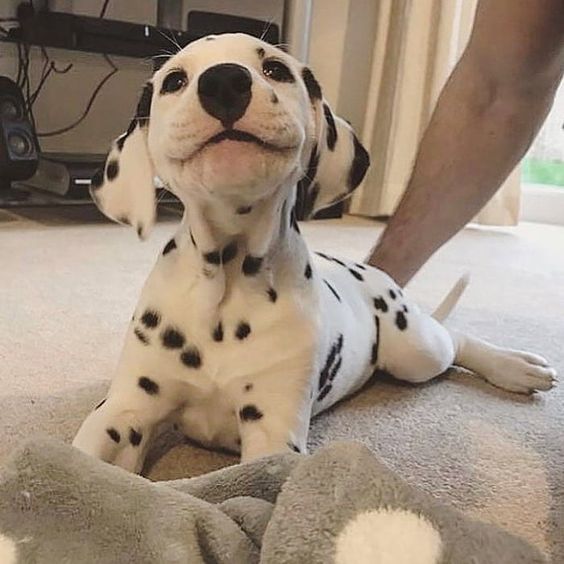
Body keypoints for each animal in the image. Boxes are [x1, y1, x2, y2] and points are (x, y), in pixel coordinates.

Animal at [72, 30, 556, 472]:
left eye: (275, 69)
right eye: (174, 80)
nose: (225, 81)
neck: (227, 284)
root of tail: (377, 275)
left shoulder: (272, 431)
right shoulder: (125, 409)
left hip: (416, 351)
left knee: (455, 340)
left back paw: (514, 367)